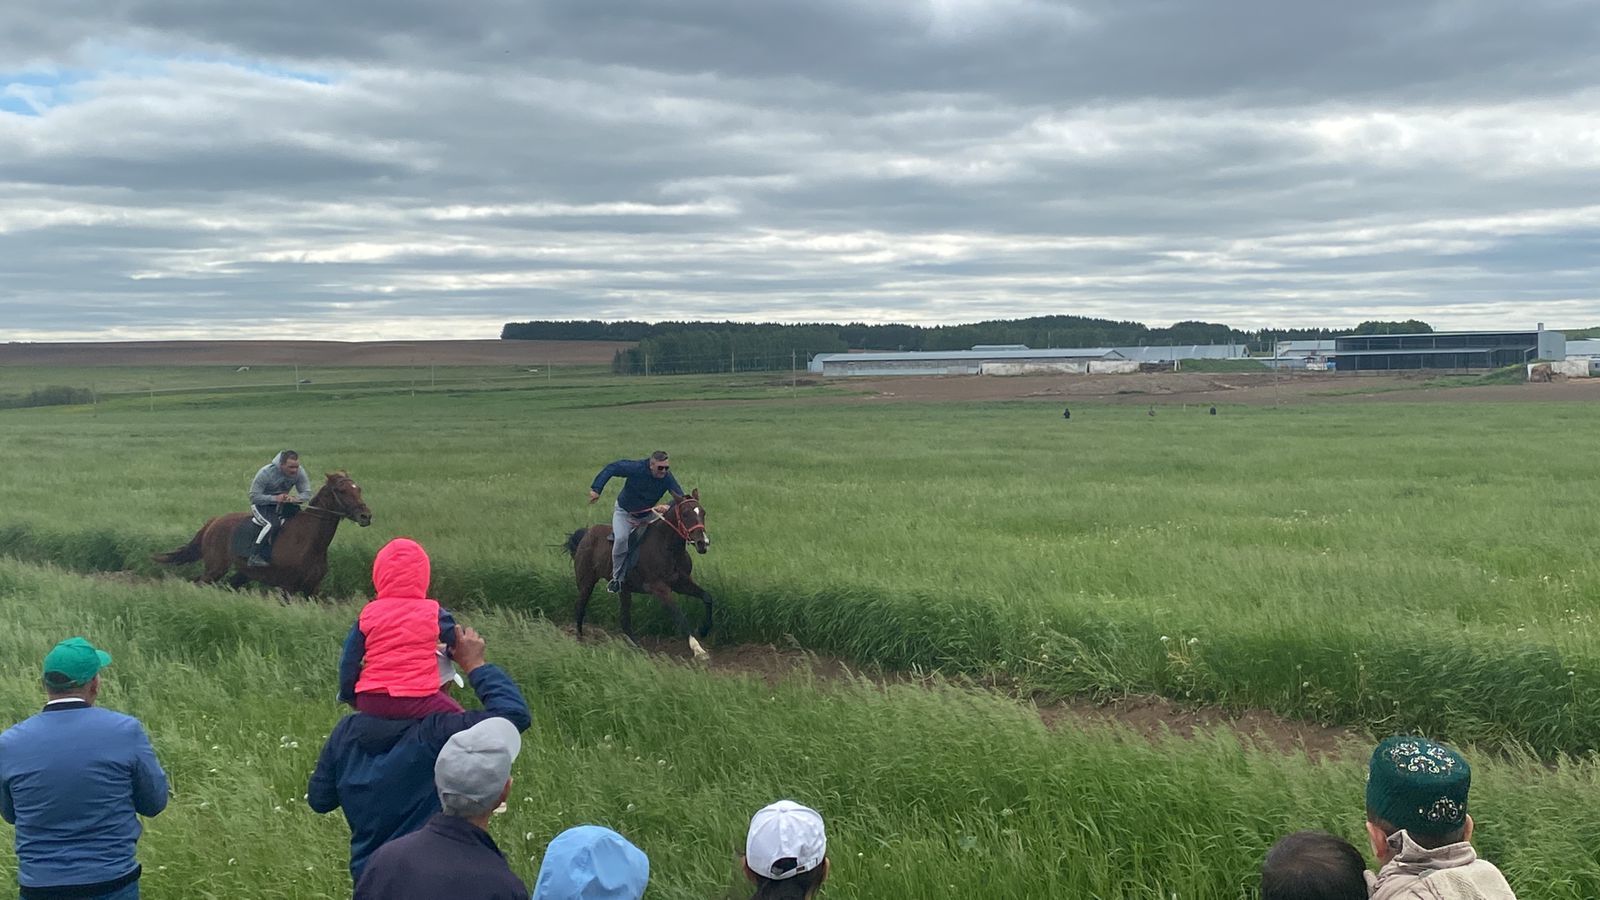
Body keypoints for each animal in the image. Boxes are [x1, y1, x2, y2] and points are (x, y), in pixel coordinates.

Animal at [152, 470, 371, 595]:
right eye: (342, 490)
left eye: (358, 488)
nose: (366, 516)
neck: (309, 541)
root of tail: (214, 522)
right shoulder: (287, 588)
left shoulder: (313, 589)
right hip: (215, 567)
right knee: (199, 582)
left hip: (241, 571)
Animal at [563, 490, 713, 659]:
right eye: (685, 513)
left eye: (703, 512)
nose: (703, 543)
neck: (667, 547)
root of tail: (586, 534)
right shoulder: (659, 588)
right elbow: (678, 614)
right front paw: (697, 649)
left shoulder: (681, 583)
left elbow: (707, 597)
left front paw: (704, 630)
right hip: (586, 582)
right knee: (580, 607)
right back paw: (580, 640)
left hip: (624, 589)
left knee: (624, 619)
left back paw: (637, 647)